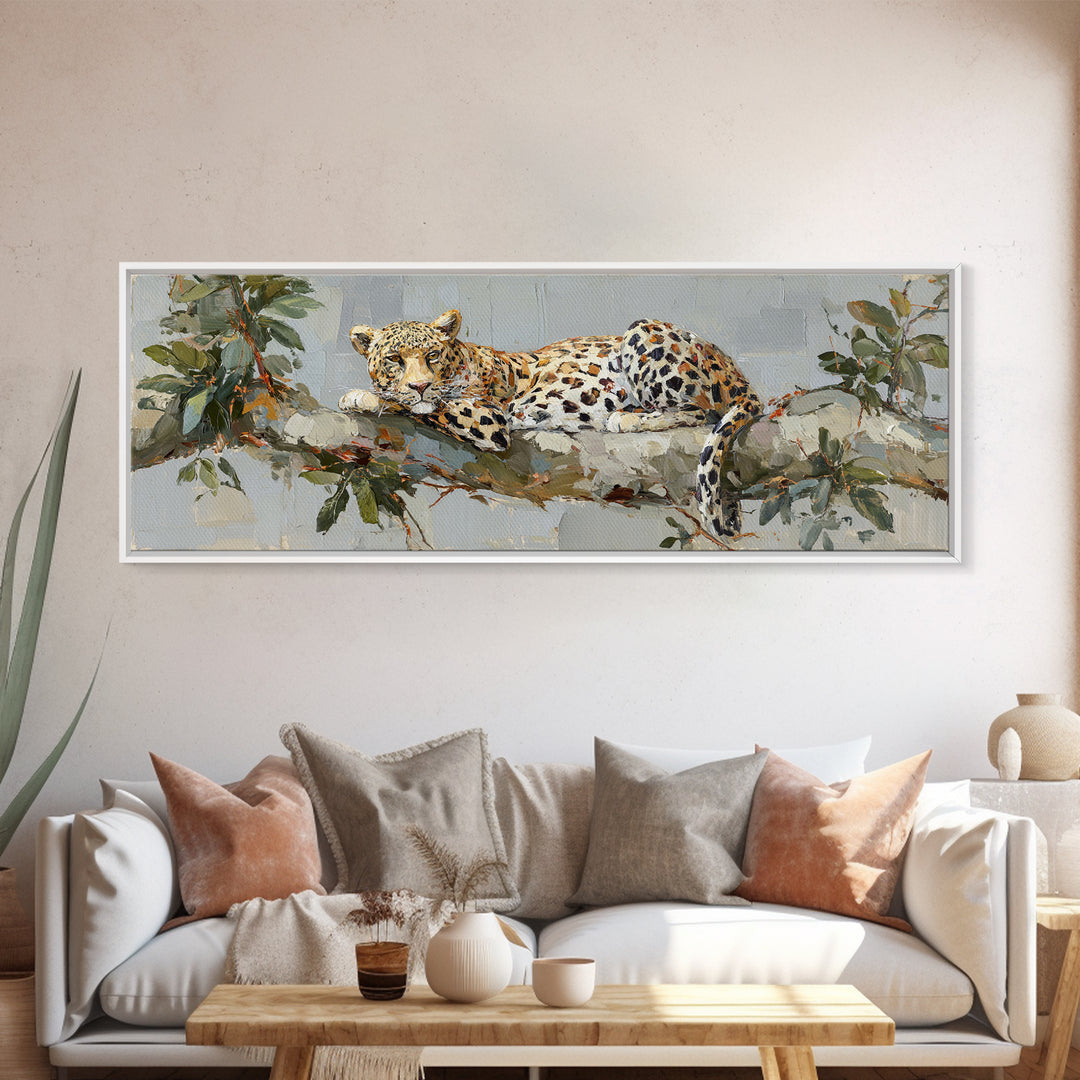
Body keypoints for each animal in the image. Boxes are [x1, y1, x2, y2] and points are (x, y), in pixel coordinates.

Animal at [338, 308, 762, 537]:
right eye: (394, 359)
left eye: (432, 355)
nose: (420, 384)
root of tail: (732, 369)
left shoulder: (488, 417)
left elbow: (429, 405)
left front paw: (367, 396)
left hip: (644, 332)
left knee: (699, 410)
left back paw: (625, 418)